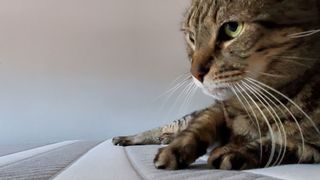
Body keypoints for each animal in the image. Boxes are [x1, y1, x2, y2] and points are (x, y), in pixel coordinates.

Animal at [112, 0, 320, 170]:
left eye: (232, 28)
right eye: (192, 37)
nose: (194, 73)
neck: (257, 104)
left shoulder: (312, 147)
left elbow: (278, 144)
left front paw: (234, 151)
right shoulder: (217, 109)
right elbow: (198, 128)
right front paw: (175, 149)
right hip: (185, 118)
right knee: (161, 128)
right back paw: (128, 138)